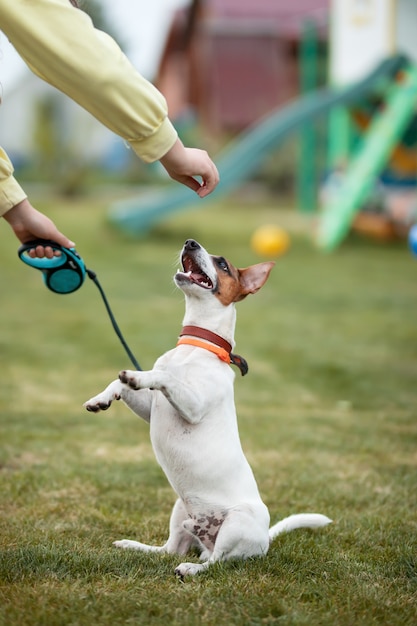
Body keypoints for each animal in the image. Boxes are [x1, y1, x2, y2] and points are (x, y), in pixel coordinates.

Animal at [83, 238, 332, 576]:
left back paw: (191, 570)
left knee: (217, 563)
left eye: (223, 264)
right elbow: (121, 383)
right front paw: (102, 398)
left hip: (235, 524)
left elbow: (162, 376)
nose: (190, 242)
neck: (196, 346)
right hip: (180, 509)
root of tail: (264, 541)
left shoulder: (193, 406)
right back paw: (134, 546)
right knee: (169, 550)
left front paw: (138, 376)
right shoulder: (152, 409)